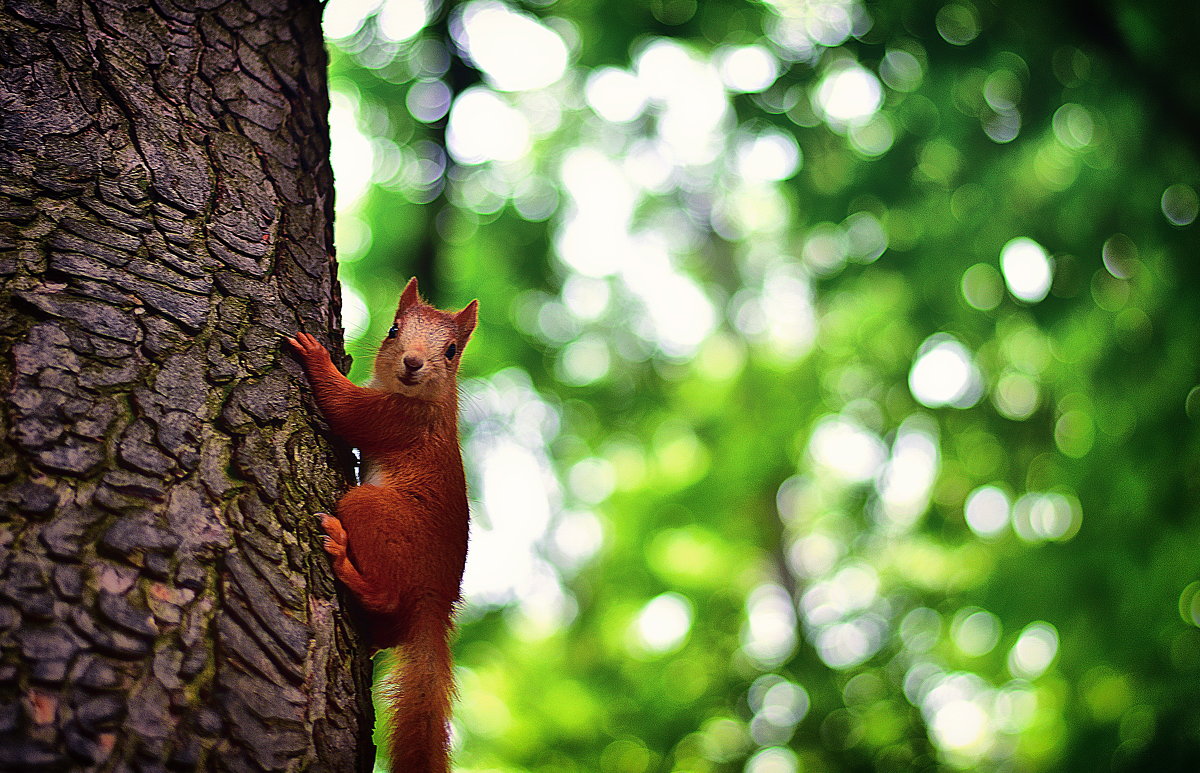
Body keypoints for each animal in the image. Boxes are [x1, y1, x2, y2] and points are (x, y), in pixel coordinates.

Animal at [290, 277, 477, 773]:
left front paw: (316, 355)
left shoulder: (394, 420)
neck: (429, 399)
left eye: (451, 350)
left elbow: (344, 409)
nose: (413, 362)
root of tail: (434, 601)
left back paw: (340, 554)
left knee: (385, 594)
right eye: (394, 329)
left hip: (371, 507)